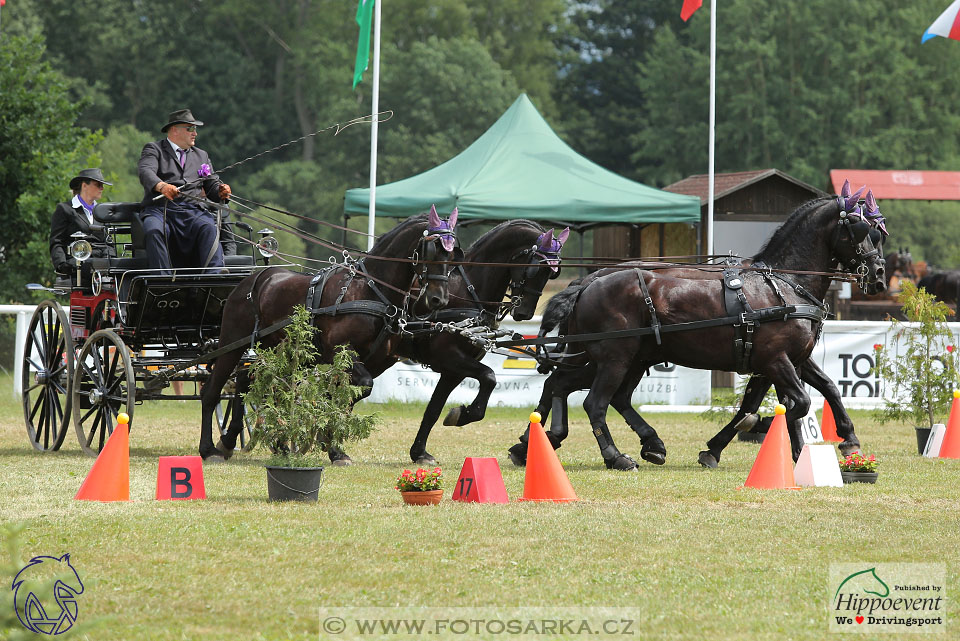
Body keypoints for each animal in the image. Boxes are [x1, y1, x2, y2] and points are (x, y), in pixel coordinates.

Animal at [201, 209, 460, 460]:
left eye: (452, 256)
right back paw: (209, 449)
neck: (371, 290)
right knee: (212, 391)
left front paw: (330, 442)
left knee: (247, 382)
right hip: (232, 343)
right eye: (431, 251)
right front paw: (331, 445)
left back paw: (235, 441)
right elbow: (356, 389)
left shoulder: (377, 360)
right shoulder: (341, 349)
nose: (439, 299)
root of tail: (252, 279)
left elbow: (347, 394)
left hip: (278, 353)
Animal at [400, 222, 568, 462]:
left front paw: (419, 451)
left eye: (552, 272)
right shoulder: (449, 357)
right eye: (534, 268)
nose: (525, 312)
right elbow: (489, 376)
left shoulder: (453, 370)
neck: (466, 292)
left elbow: (434, 409)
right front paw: (464, 413)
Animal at [510, 192, 884, 468]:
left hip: (615, 358)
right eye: (861, 229)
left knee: (568, 385)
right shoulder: (775, 359)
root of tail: (589, 282)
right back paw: (615, 456)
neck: (784, 284)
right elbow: (796, 403)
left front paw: (844, 442)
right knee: (594, 402)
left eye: (878, 232)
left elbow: (825, 390)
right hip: (614, 358)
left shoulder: (790, 360)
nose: (879, 274)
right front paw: (756, 431)